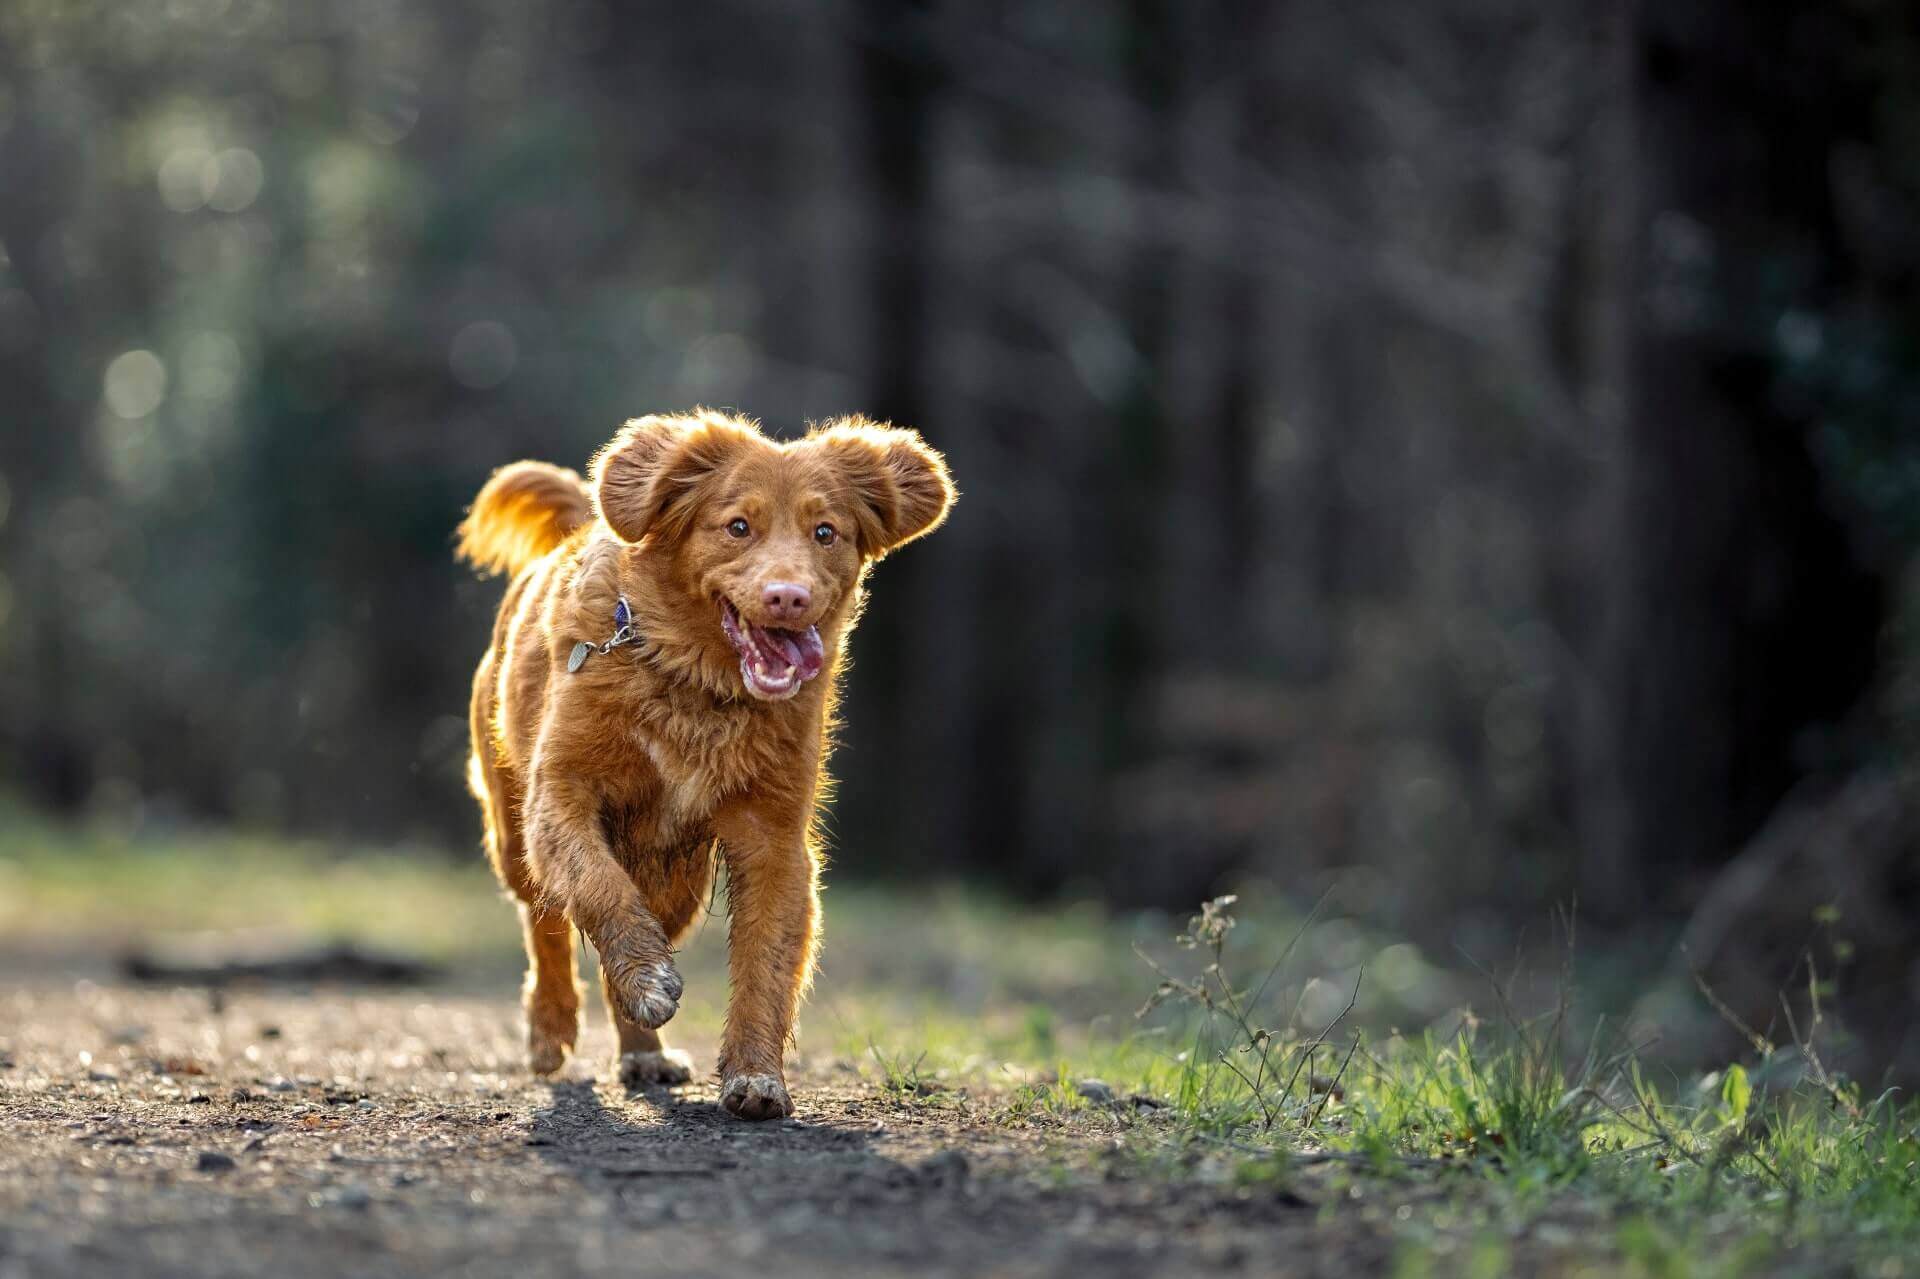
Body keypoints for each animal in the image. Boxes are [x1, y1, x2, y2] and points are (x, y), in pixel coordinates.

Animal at [456, 409, 952, 1113]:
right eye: (737, 526)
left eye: (825, 532)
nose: (787, 597)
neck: (698, 686)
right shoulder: (562, 795)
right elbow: (597, 887)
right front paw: (646, 977)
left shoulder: (773, 837)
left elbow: (767, 960)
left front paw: (756, 1075)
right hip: (510, 827)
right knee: (545, 920)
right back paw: (550, 1028)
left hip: (680, 880)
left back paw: (643, 1052)